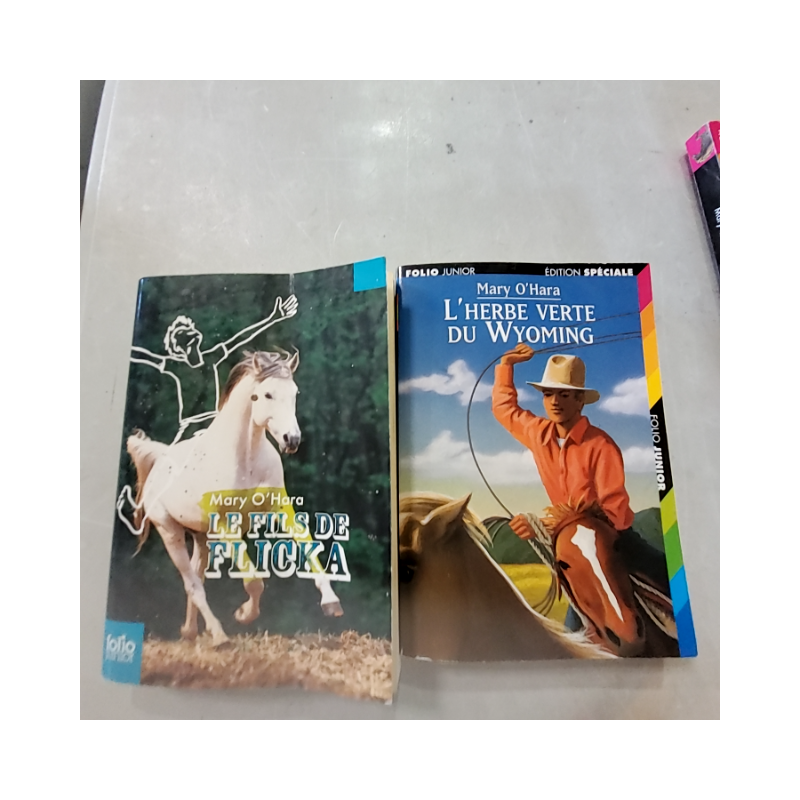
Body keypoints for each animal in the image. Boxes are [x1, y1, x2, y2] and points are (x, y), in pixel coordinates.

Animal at [125, 349, 343, 647]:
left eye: (295, 392)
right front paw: (243, 614)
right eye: (266, 394)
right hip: (171, 533)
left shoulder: (279, 506)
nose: (292, 439)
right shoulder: (225, 525)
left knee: (198, 578)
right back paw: (218, 636)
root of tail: (160, 459)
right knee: (192, 584)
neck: (245, 456)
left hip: (202, 538)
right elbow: (253, 580)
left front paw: (331, 602)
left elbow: (307, 543)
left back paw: (191, 631)